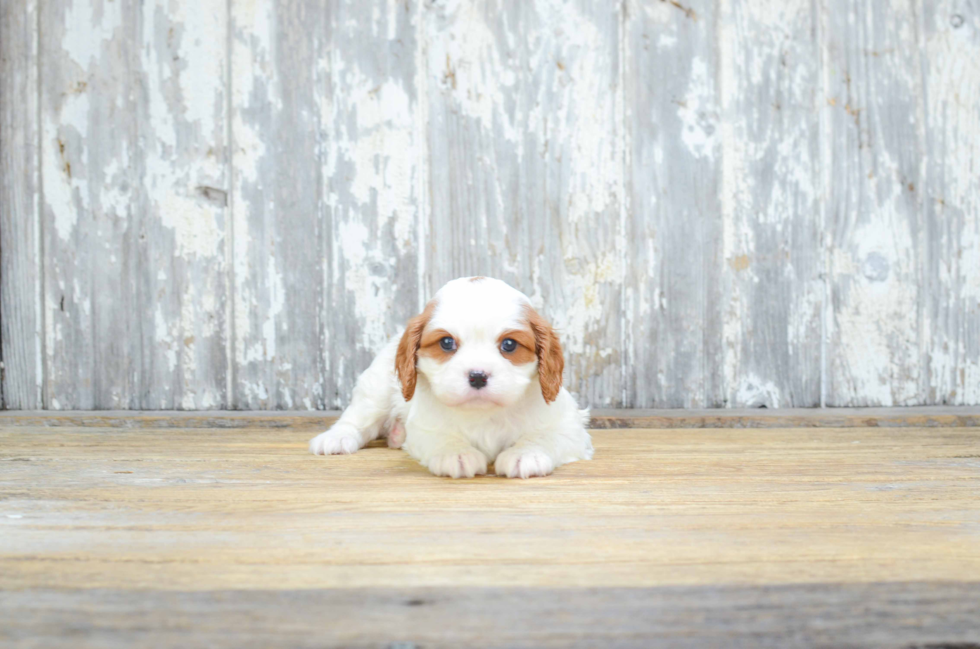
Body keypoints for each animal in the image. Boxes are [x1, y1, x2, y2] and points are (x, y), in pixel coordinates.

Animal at [310, 276, 592, 478]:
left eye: (509, 345)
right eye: (446, 343)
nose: (477, 376)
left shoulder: (568, 425)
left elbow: (543, 435)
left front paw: (526, 454)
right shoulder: (425, 426)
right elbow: (442, 437)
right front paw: (456, 455)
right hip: (377, 387)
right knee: (358, 417)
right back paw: (336, 438)